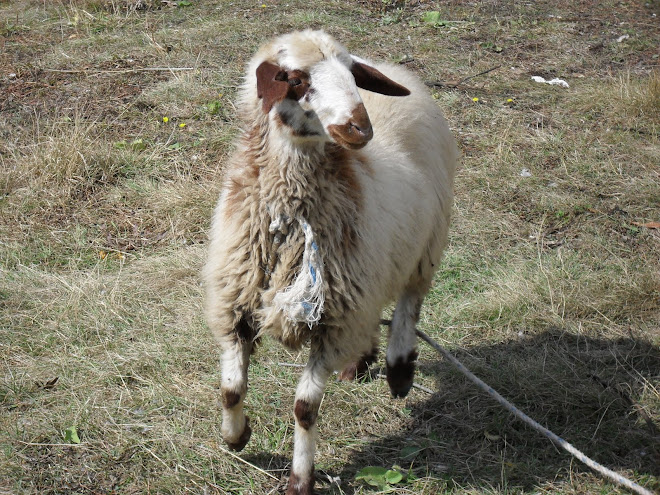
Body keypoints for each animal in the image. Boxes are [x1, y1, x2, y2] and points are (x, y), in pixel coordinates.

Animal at [204, 31, 456, 495]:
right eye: (295, 79)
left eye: (351, 74)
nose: (360, 128)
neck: (290, 224)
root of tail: (389, 66)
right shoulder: (237, 307)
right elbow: (230, 391)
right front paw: (236, 436)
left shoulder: (331, 326)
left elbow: (305, 409)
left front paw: (300, 479)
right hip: (371, 269)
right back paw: (361, 362)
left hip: (428, 243)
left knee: (409, 302)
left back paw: (398, 369)